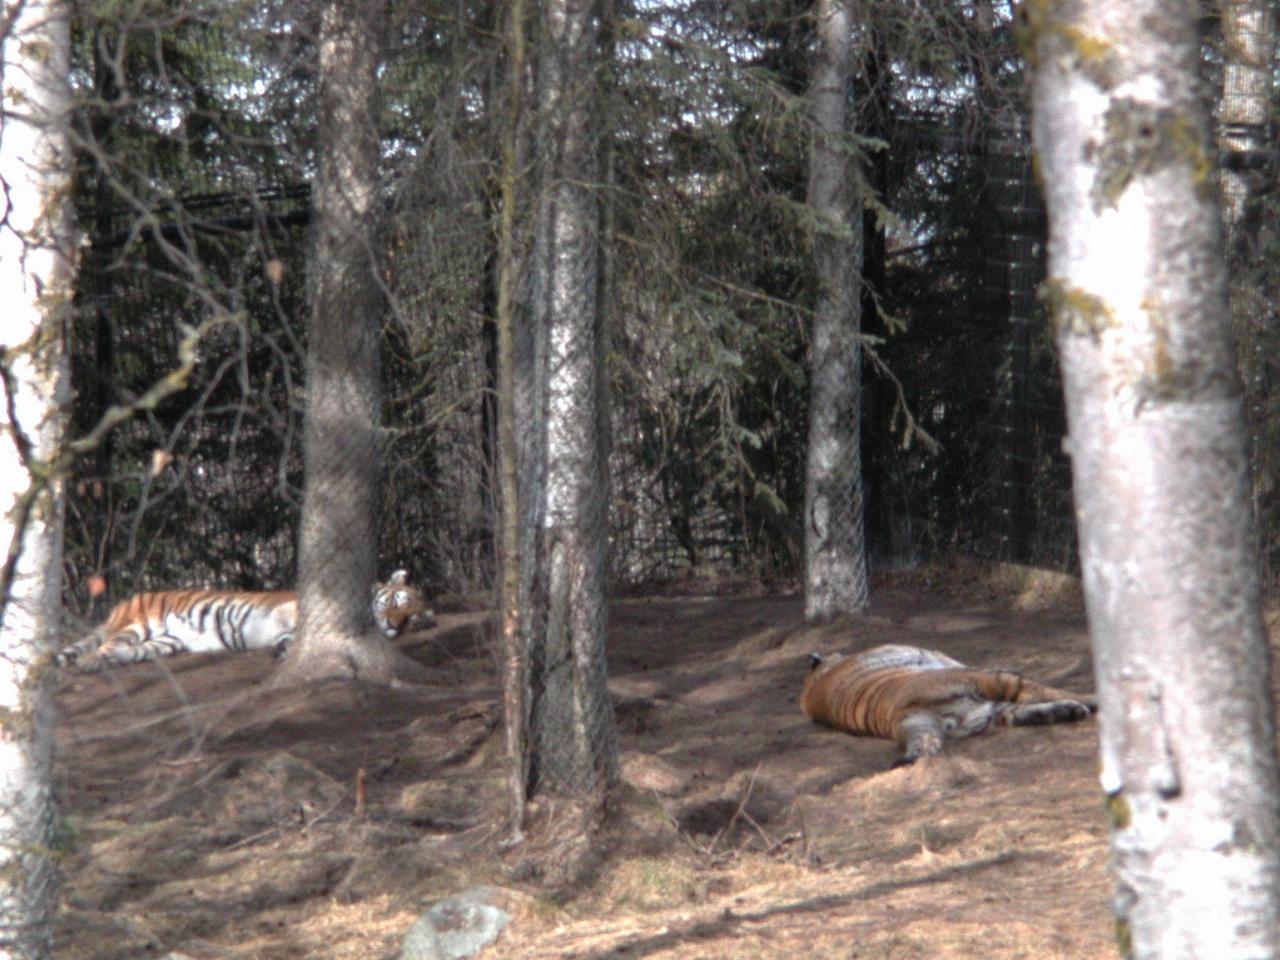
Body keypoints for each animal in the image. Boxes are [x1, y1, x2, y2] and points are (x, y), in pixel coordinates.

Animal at [56, 568, 435, 670]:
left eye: (413, 619)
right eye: (396, 602)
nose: (395, 625)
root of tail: (125, 601)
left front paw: (283, 650)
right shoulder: (290, 606)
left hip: (165, 642)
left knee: (126, 651)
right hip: (139, 624)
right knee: (106, 645)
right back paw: (90, 662)